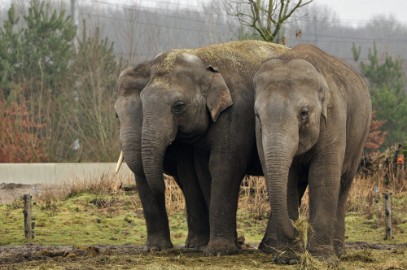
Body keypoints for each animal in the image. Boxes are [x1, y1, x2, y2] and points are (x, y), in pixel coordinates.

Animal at [116, 40, 288, 255]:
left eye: (178, 106)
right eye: (116, 115)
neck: (204, 60)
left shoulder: (236, 114)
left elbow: (222, 166)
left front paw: (217, 250)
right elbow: (201, 172)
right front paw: (158, 249)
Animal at [255, 44, 372, 264]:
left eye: (304, 113)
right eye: (257, 115)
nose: (296, 229)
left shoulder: (334, 119)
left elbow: (323, 177)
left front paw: (323, 259)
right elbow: (288, 180)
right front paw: (289, 258)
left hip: (361, 135)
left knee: (344, 183)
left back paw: (339, 252)